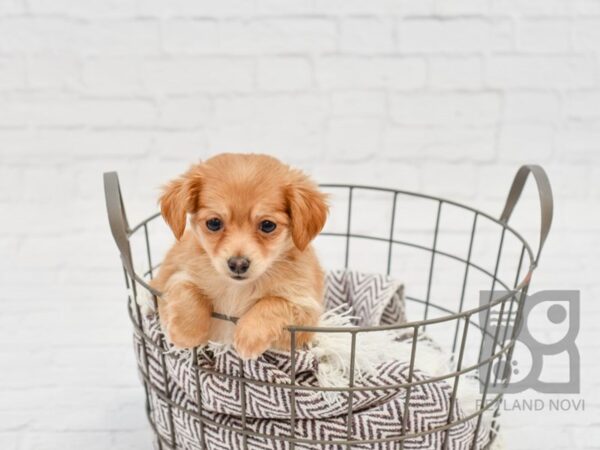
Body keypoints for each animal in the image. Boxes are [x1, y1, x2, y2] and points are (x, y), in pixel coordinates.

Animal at [150, 153, 328, 360]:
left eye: (268, 225)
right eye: (214, 223)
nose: (238, 264)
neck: (238, 289)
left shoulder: (305, 312)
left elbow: (274, 302)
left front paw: (249, 335)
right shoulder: (172, 277)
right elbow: (187, 288)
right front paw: (187, 332)